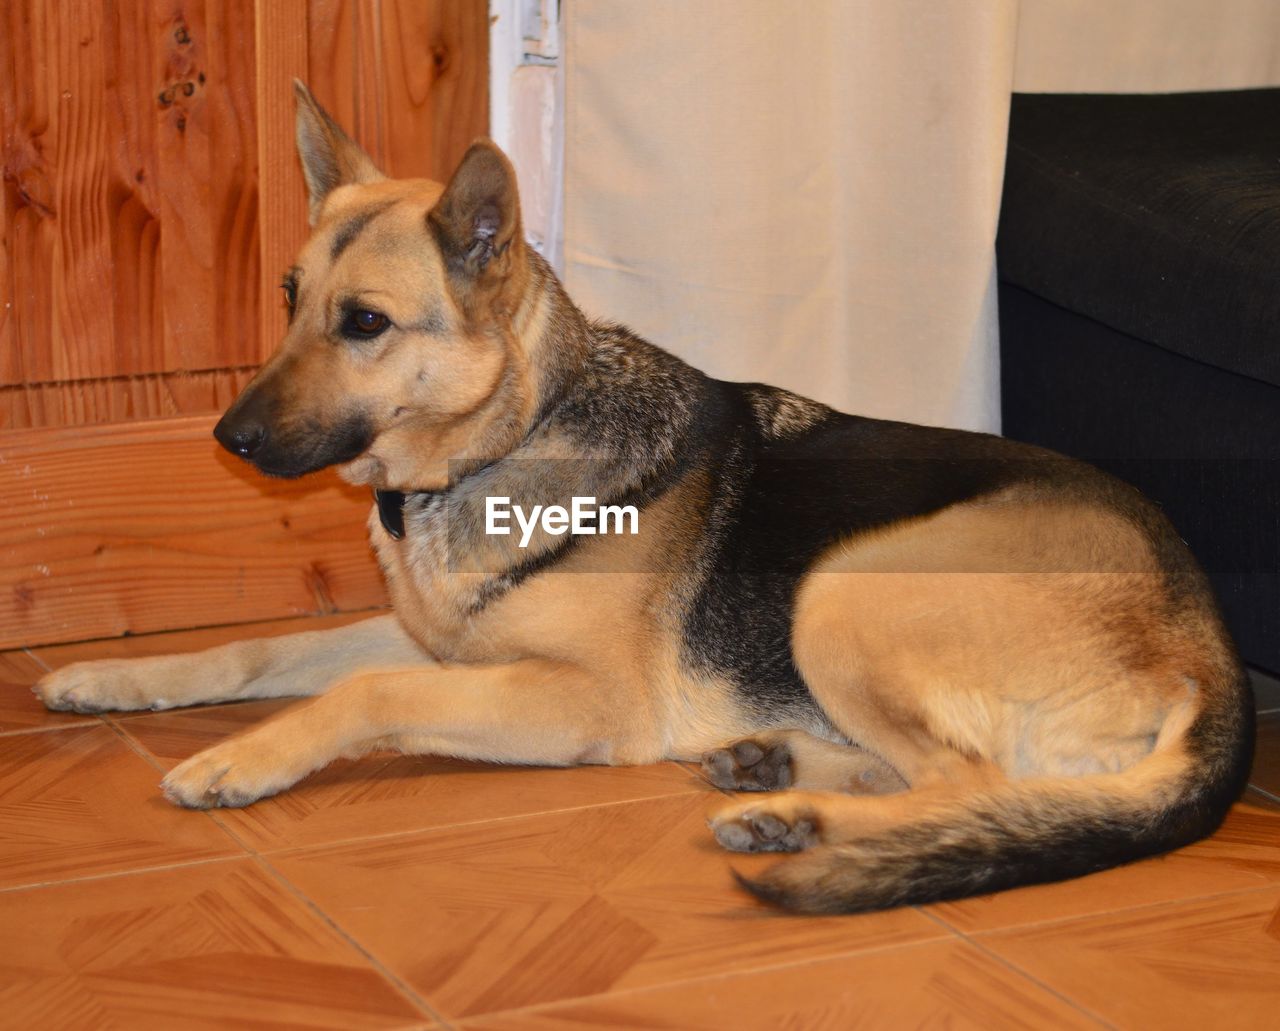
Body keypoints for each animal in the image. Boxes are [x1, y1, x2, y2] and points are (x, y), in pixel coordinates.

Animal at [35, 84, 1254, 911]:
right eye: (290, 298)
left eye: (364, 322)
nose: (223, 436)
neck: (502, 441)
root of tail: (1213, 653)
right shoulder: (440, 641)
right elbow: (260, 650)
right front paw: (115, 678)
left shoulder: (577, 699)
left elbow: (363, 690)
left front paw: (238, 757)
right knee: (954, 774)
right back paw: (773, 762)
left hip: (842, 586)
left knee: (969, 779)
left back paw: (792, 814)